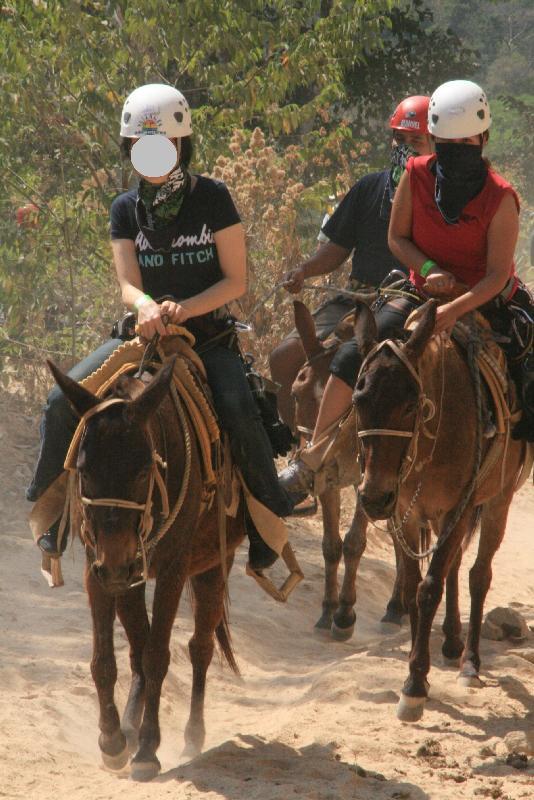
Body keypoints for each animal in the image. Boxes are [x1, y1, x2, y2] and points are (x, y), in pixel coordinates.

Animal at [48, 355, 246, 781]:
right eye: (84, 470)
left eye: (141, 472)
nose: (118, 562)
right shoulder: (97, 569)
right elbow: (106, 661)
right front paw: (112, 740)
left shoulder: (172, 569)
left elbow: (158, 656)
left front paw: (148, 750)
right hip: (130, 578)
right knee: (138, 647)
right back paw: (129, 726)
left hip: (211, 567)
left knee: (200, 647)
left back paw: (192, 735)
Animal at [290, 300, 408, 639]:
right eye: (294, 394)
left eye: (350, 401)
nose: (314, 453)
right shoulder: (329, 481)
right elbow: (331, 546)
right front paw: (327, 611)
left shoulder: (370, 485)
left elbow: (354, 544)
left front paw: (344, 615)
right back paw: (397, 607)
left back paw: (399, 606)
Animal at [352, 299, 526, 722]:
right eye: (358, 400)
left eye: (411, 404)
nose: (373, 498)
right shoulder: (405, 512)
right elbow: (413, 583)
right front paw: (419, 670)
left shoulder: (457, 510)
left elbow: (429, 587)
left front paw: (414, 685)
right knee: (455, 566)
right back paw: (450, 641)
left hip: (497, 503)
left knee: (479, 575)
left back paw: (470, 662)